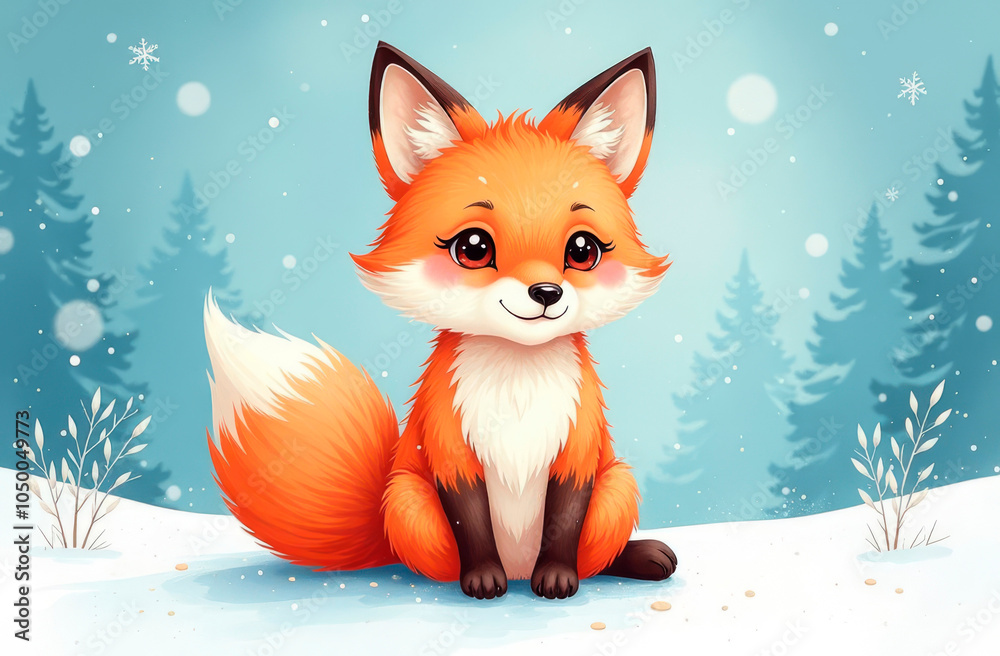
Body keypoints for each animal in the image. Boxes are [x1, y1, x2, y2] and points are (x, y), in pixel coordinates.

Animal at [204, 42, 675, 600]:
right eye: (473, 248)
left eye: (582, 251)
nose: (546, 293)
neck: (517, 382)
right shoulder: (448, 447)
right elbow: (469, 519)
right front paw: (483, 578)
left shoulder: (578, 450)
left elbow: (565, 522)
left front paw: (558, 577)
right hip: (408, 497)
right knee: (426, 565)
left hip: (618, 485)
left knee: (598, 556)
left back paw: (636, 557)